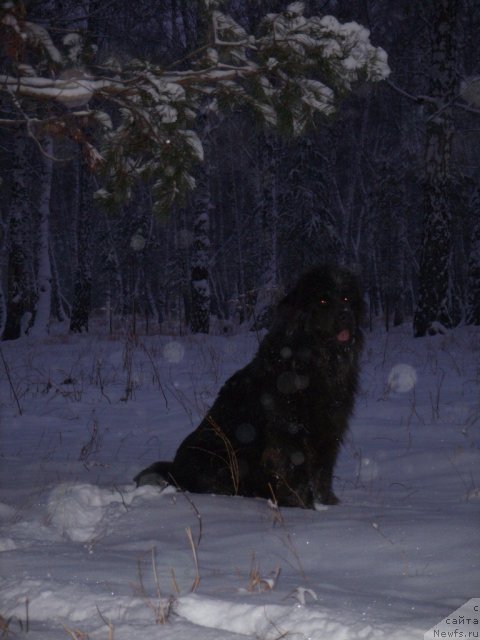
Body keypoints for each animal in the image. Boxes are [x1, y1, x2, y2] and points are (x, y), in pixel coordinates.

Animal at [135, 264, 364, 510]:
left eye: (346, 298)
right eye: (322, 301)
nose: (346, 314)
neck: (315, 361)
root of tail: (175, 470)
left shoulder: (330, 426)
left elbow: (323, 470)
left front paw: (327, 503)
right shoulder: (289, 428)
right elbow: (297, 468)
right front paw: (302, 504)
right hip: (219, 457)